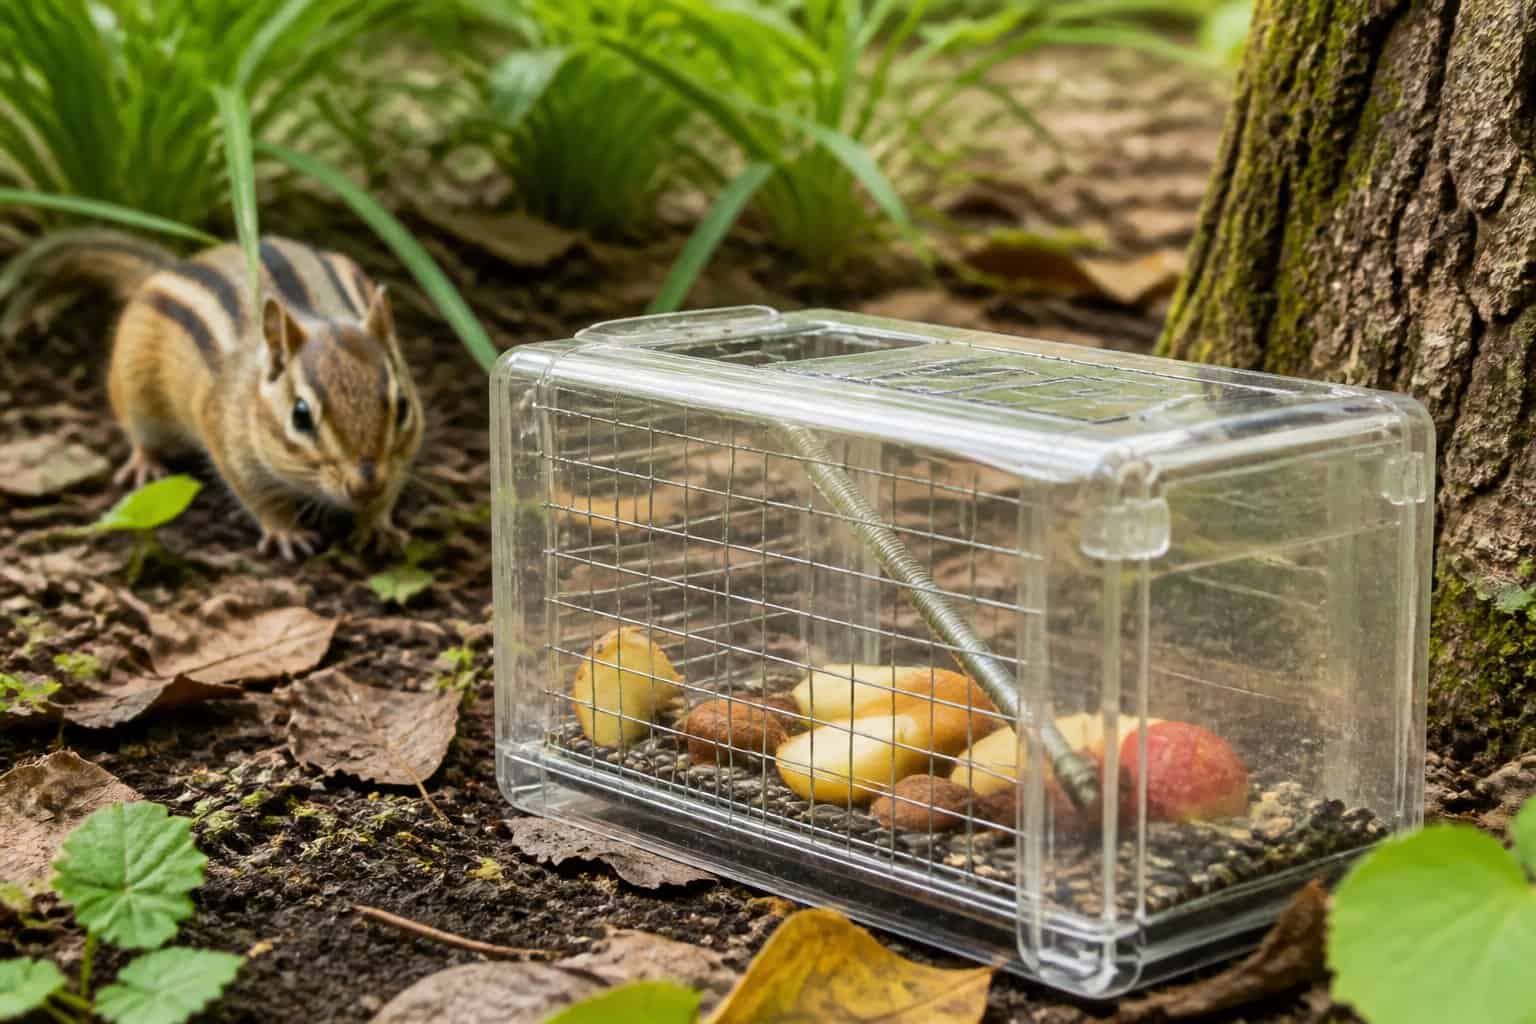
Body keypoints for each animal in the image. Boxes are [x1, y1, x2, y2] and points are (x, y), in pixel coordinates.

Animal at [27, 231, 424, 559]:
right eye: (300, 415)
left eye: (403, 406)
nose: (365, 485)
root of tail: (176, 263)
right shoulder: (230, 448)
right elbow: (260, 498)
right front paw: (287, 533)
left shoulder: (401, 458)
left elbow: (390, 490)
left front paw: (377, 525)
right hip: (135, 390)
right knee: (140, 436)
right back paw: (146, 464)